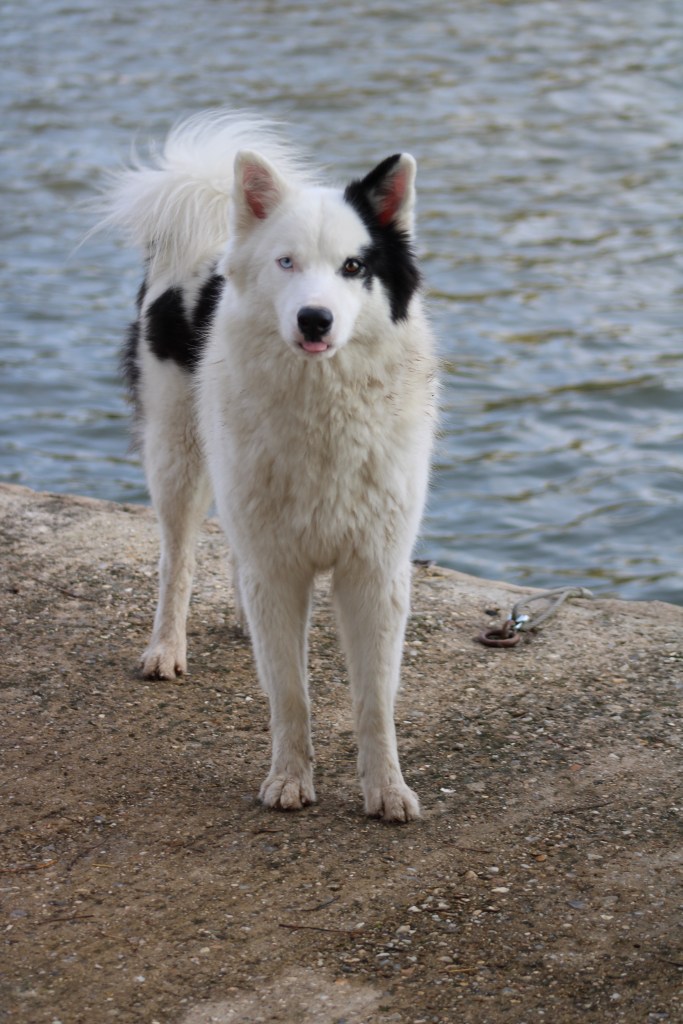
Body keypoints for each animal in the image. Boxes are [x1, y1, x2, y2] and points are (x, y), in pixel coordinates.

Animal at [103, 112, 437, 821]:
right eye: (287, 262)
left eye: (353, 266)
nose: (316, 318)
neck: (323, 403)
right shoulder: (279, 564)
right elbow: (288, 691)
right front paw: (288, 781)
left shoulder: (375, 568)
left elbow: (374, 700)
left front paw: (386, 790)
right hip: (178, 456)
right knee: (178, 559)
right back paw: (165, 649)